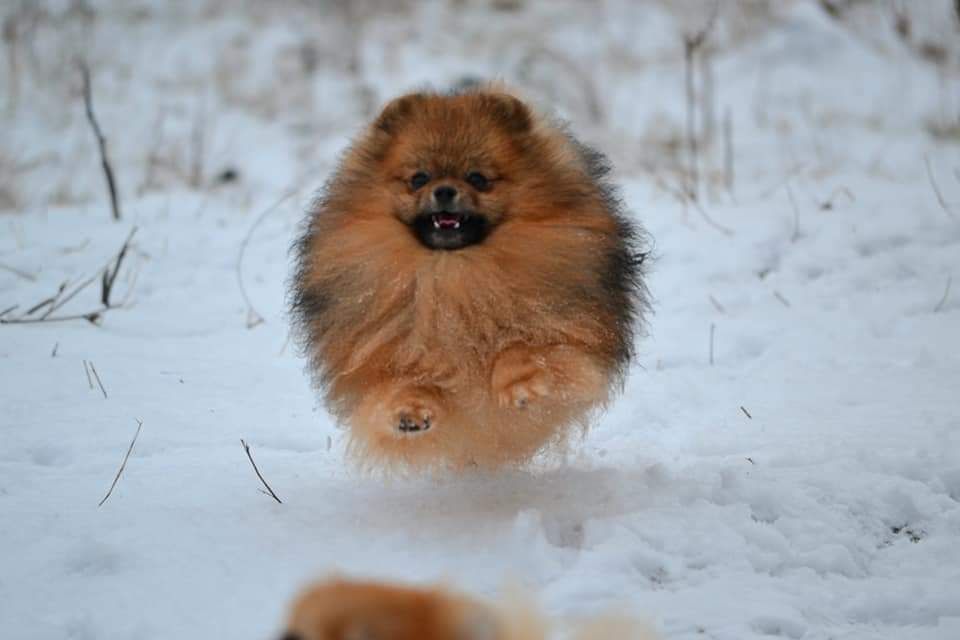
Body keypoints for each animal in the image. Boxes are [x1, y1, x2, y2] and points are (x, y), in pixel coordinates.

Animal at [292, 85, 648, 470]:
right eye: (418, 178)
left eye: (478, 178)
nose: (445, 190)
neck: (455, 275)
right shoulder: (382, 351)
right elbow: (399, 381)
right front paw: (409, 407)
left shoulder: (567, 334)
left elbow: (522, 347)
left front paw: (520, 382)